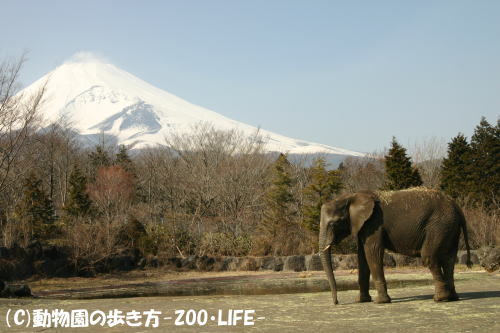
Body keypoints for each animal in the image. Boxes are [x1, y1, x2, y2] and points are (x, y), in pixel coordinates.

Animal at [320, 187, 472, 304]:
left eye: (334, 223)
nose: (337, 302)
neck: (351, 196)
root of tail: (458, 208)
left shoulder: (374, 223)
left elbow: (372, 252)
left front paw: (380, 302)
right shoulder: (363, 225)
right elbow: (362, 257)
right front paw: (361, 301)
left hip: (439, 225)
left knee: (429, 257)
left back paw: (440, 299)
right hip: (450, 227)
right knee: (449, 259)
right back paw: (452, 298)